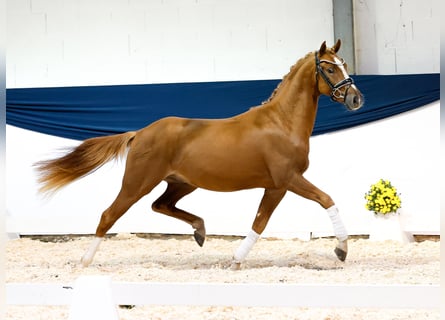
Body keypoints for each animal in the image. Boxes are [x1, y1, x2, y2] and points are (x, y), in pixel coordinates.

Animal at [34, 40, 360, 270]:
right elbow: (320, 202)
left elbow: (260, 222)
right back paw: (85, 262)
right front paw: (341, 250)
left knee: (160, 205)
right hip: (137, 184)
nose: (356, 98)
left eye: (344, 64)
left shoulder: (276, 186)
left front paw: (235, 259)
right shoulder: (286, 181)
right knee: (108, 215)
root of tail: (139, 133)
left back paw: (200, 230)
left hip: (181, 183)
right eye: (330, 68)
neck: (281, 122)